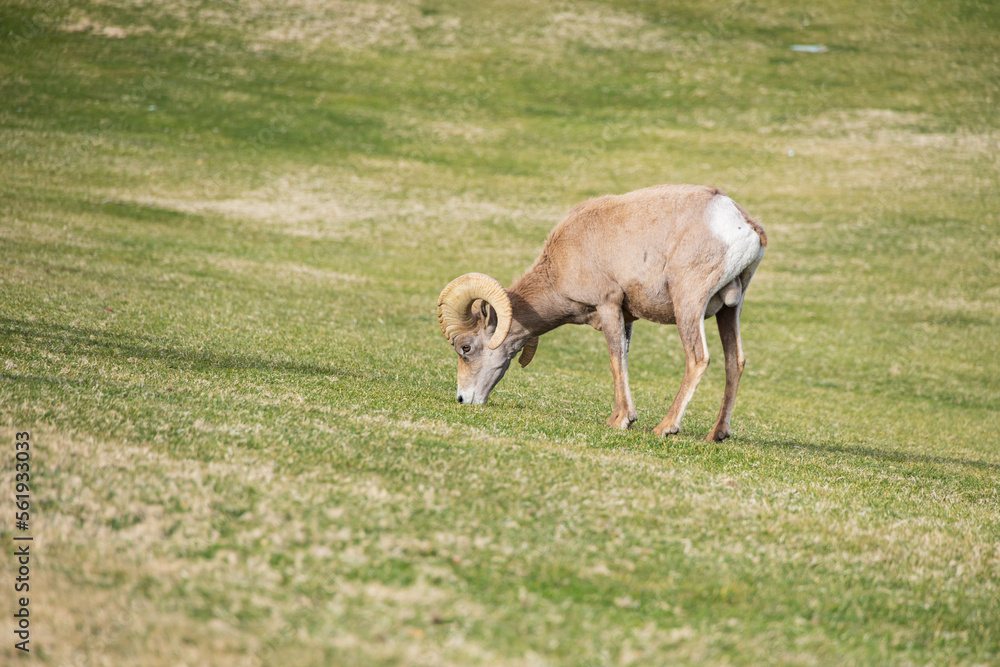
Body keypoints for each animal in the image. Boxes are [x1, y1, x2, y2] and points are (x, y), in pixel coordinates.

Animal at [436, 185, 764, 440]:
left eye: (466, 348)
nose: (463, 399)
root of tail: (741, 224)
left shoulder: (608, 305)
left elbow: (615, 360)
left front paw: (621, 421)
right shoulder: (626, 318)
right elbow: (624, 361)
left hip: (688, 304)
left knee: (698, 359)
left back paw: (665, 427)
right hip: (730, 310)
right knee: (735, 362)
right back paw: (717, 434)